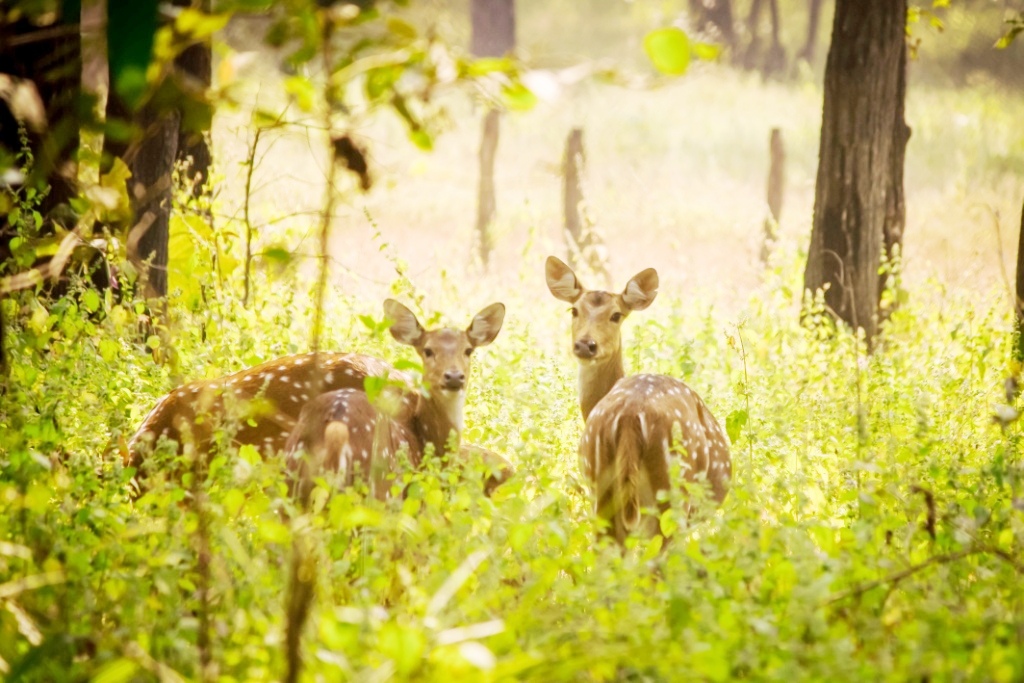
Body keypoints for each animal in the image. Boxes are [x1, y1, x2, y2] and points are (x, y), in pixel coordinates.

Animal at [284, 296, 507, 501]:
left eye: (468, 350)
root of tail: (333, 431)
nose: (453, 376)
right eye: (428, 350)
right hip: (379, 489)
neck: (422, 437)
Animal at [544, 255, 729, 544]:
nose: (586, 345)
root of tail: (631, 417)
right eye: (574, 310)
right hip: (673, 495)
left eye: (616, 315)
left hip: (602, 490)